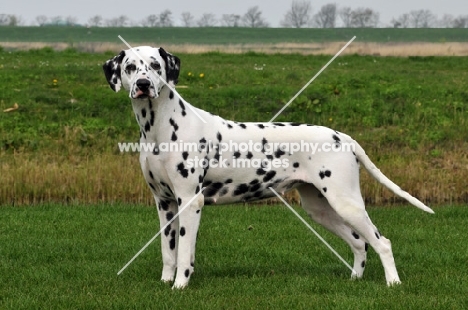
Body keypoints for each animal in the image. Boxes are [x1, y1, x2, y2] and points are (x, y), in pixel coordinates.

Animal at [103, 47, 436, 290]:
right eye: (130, 67)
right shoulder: (165, 203)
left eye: (155, 66)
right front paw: (166, 281)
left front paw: (180, 287)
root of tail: (343, 137)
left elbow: (184, 252)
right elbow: (168, 251)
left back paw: (393, 283)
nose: (143, 85)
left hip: (346, 203)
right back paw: (355, 279)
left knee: (381, 242)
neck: (160, 127)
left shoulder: (190, 201)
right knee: (359, 243)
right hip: (321, 209)